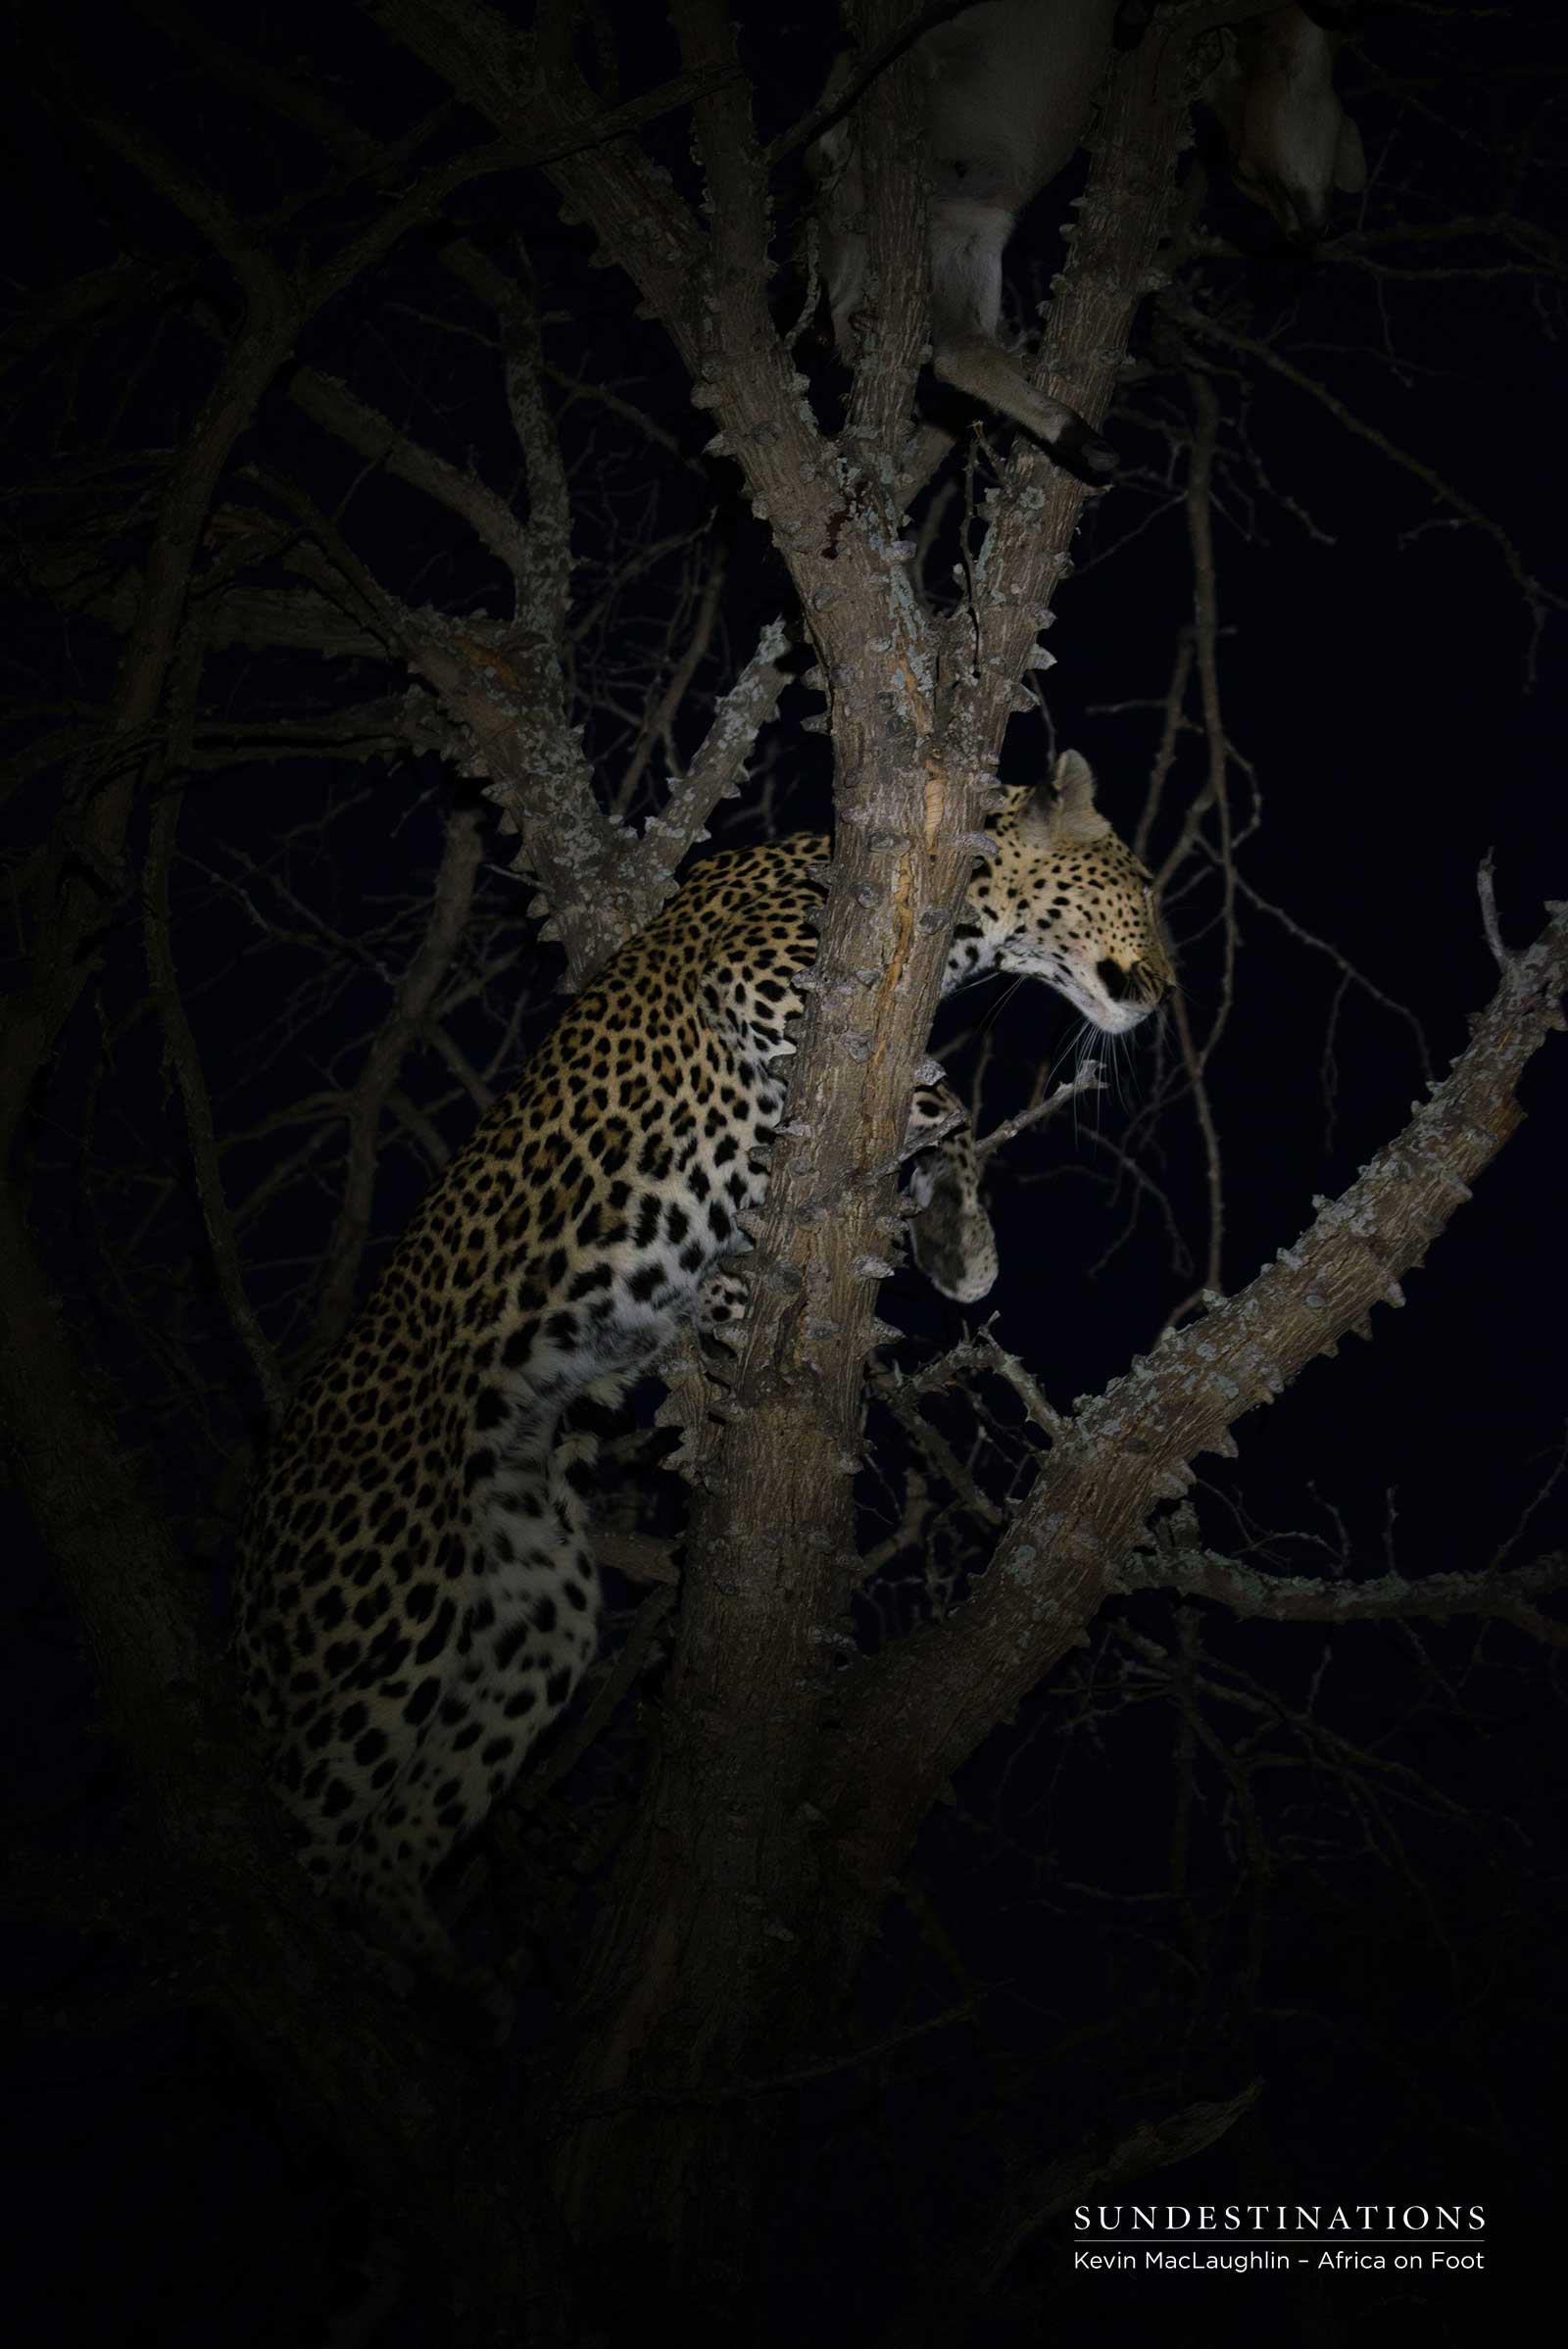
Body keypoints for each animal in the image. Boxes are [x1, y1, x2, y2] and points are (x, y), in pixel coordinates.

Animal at [231, 748, 1172, 1987]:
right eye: (1145, 888)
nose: (1165, 991)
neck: (963, 920)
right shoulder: (772, 978)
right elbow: (941, 1088)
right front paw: (945, 1200)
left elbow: (915, 1151)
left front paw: (956, 1244)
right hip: (378, 1622)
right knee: (302, 1820)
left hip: (534, 1610)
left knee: (388, 1841)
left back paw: (446, 1978)